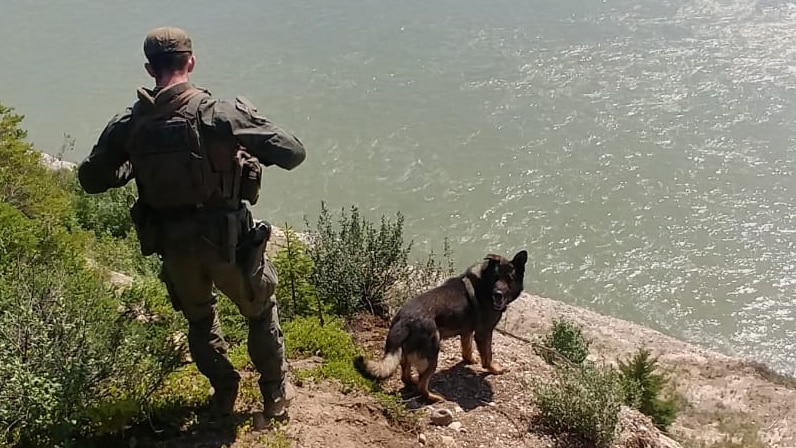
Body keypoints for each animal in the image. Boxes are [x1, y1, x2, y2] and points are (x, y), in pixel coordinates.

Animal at [352, 248, 524, 402]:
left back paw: (413, 381)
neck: (484, 282)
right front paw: (495, 369)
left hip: (408, 354)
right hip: (432, 356)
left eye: (509, 278)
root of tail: (404, 321)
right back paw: (433, 397)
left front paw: (470, 360)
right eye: (496, 278)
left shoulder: (467, 331)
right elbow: (488, 356)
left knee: (405, 376)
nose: (498, 295)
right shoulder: (484, 333)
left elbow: (467, 348)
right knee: (422, 385)